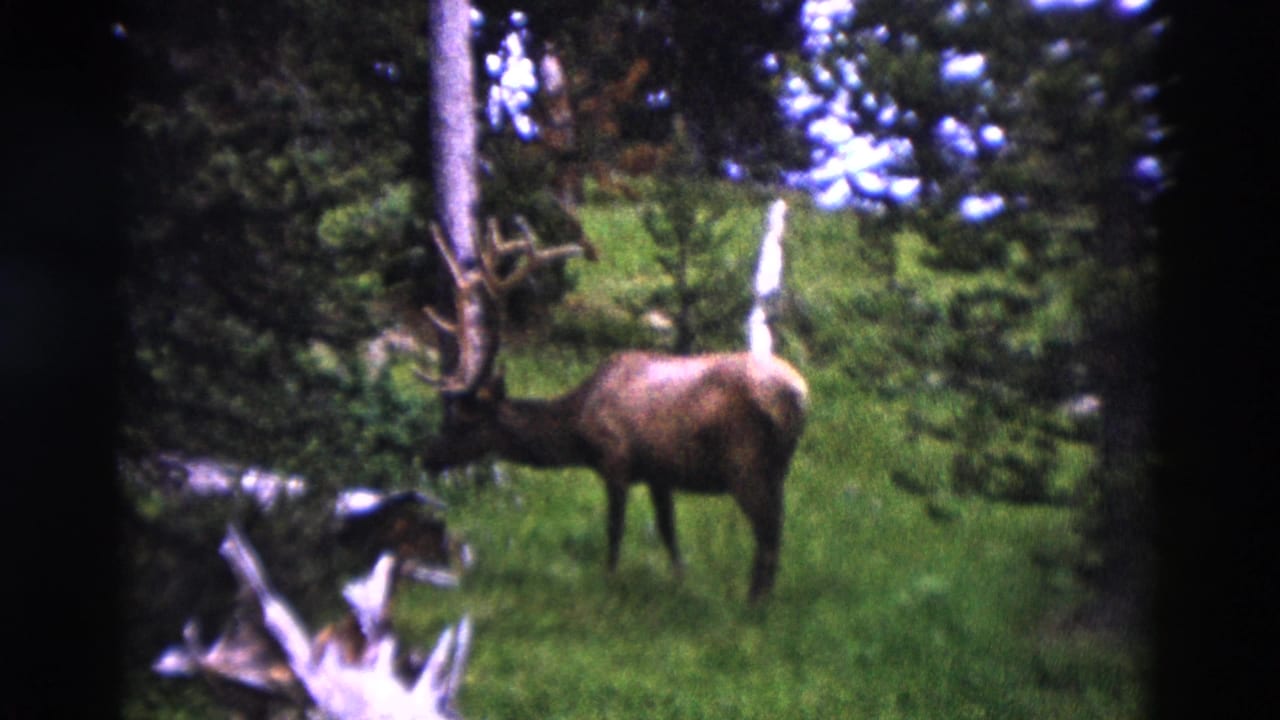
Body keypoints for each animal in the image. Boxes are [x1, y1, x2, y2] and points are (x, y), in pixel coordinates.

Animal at [417, 215, 807, 601]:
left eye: (464, 421)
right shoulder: (658, 473)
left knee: (768, 536)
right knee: (776, 530)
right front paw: (679, 580)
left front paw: (609, 583)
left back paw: (754, 603)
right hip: (777, 468)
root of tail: (799, 394)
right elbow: (668, 531)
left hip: (747, 464)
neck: (578, 428)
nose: (427, 456)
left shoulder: (615, 460)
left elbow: (614, 530)